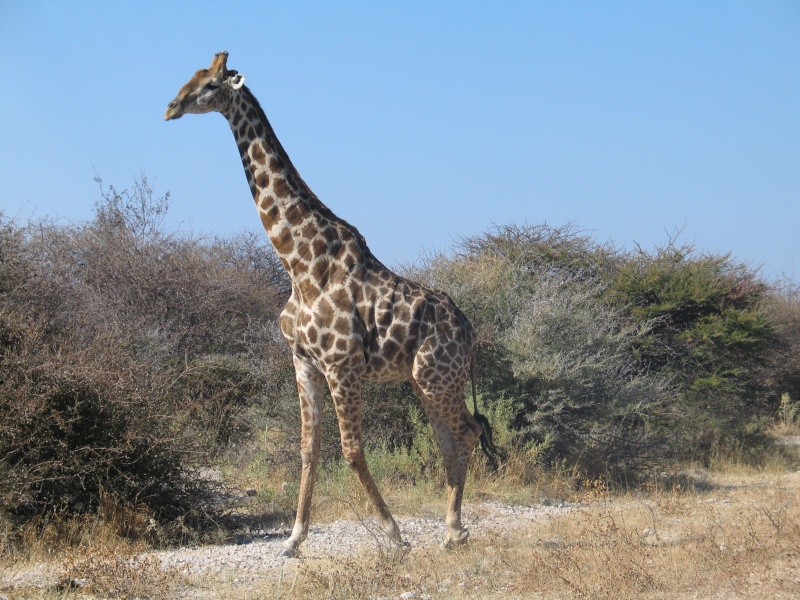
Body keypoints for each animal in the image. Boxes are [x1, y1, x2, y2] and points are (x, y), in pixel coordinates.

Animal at [166, 51, 496, 556]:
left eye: (208, 85)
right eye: (191, 76)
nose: (170, 108)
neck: (299, 266)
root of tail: (470, 330)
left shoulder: (342, 364)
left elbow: (352, 451)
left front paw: (394, 535)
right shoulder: (303, 361)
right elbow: (309, 449)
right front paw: (293, 539)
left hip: (437, 376)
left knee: (467, 432)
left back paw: (455, 530)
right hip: (424, 381)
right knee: (451, 438)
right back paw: (450, 529)